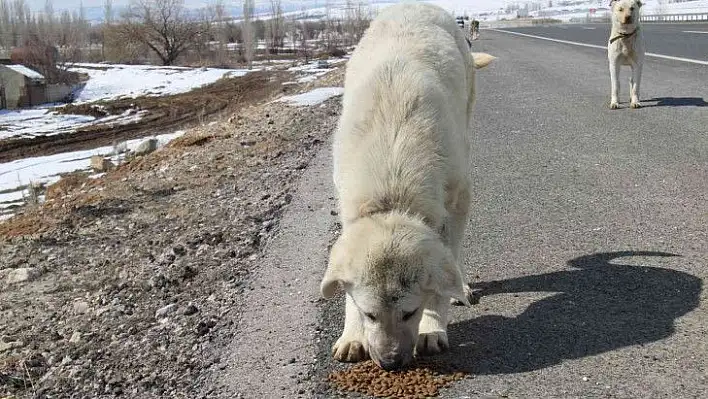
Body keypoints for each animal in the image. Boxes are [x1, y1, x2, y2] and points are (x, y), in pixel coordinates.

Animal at [320, 1, 492, 372]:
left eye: (409, 312)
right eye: (370, 314)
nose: (390, 363)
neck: (392, 188)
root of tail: (416, 4)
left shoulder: (458, 200)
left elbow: (445, 268)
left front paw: (432, 328)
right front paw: (352, 335)